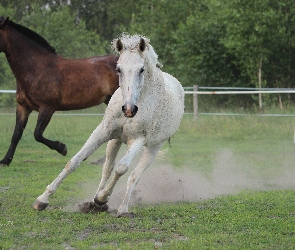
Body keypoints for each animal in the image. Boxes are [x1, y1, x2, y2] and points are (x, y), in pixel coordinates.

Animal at [0, 17, 120, 166]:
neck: (37, 68)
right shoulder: (23, 107)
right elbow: (16, 134)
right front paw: (5, 161)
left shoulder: (47, 108)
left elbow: (37, 134)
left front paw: (62, 148)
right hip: (110, 100)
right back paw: (100, 160)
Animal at [33, 34, 185, 218]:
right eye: (118, 69)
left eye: (141, 69)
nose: (129, 109)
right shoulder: (103, 131)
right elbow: (75, 161)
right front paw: (42, 199)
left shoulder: (138, 140)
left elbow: (121, 168)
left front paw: (102, 198)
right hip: (115, 140)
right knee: (107, 168)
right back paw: (93, 204)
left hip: (153, 147)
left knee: (134, 175)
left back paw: (119, 207)